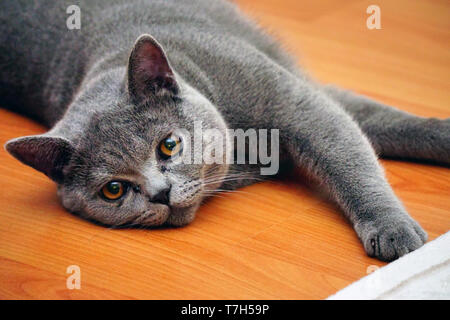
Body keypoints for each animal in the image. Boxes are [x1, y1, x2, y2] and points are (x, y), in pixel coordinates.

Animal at [0, 0, 448, 262]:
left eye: (169, 145)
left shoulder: (294, 99)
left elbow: (355, 152)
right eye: (113, 190)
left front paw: (393, 229)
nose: (160, 193)